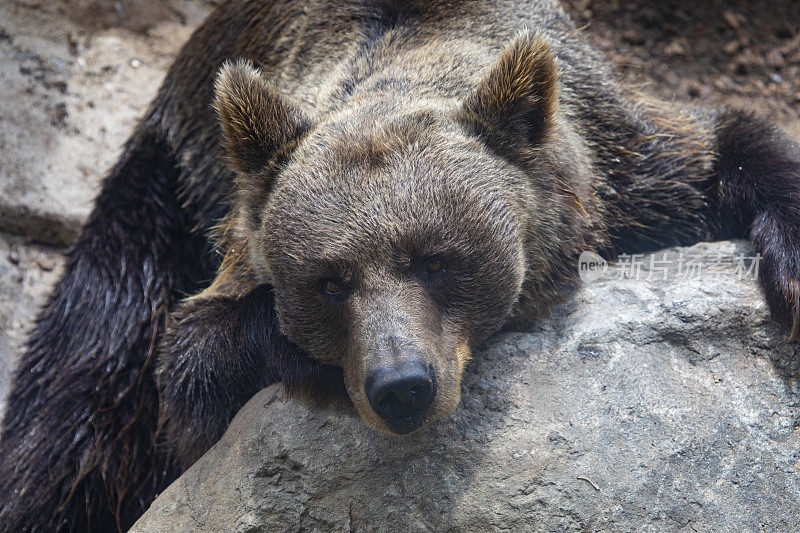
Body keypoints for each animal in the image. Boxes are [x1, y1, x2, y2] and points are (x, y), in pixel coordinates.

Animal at [1, 0, 800, 528]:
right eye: (329, 281)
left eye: (438, 261)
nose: (402, 385)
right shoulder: (233, 246)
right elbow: (190, 363)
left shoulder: (623, 171)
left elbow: (719, 151)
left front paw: (788, 265)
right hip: (166, 186)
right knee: (77, 406)